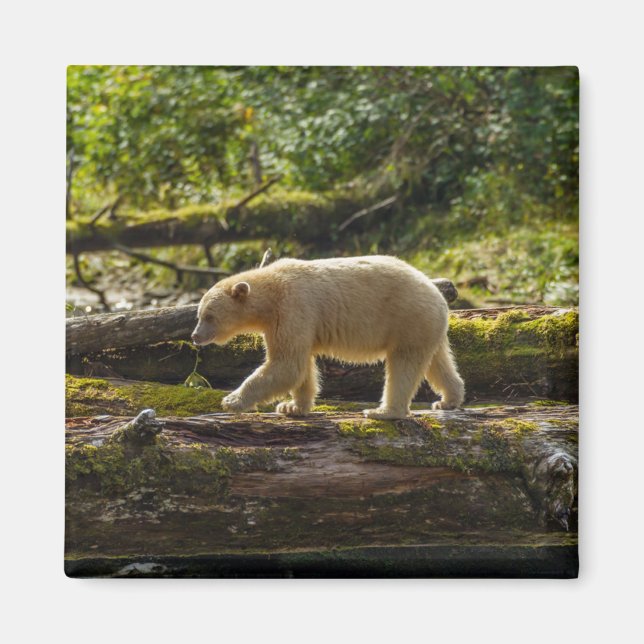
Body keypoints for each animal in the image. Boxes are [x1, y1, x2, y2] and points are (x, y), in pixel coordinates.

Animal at [191, 255, 465, 419]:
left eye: (209, 316)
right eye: (198, 314)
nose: (195, 336)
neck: (271, 291)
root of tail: (438, 295)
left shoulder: (293, 307)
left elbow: (286, 364)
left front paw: (232, 400)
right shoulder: (287, 321)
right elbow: (300, 366)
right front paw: (293, 407)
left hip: (407, 319)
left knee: (403, 366)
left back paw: (383, 411)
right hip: (426, 327)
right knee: (438, 362)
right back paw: (448, 400)